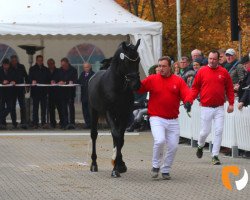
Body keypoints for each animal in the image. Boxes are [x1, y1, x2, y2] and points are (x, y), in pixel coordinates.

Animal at [88, 39, 141, 177]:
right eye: (127, 61)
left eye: (138, 60)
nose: (136, 84)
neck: (117, 86)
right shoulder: (109, 112)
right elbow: (117, 136)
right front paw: (115, 169)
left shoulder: (124, 114)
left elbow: (120, 138)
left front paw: (119, 165)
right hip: (94, 111)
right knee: (94, 135)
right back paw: (94, 164)